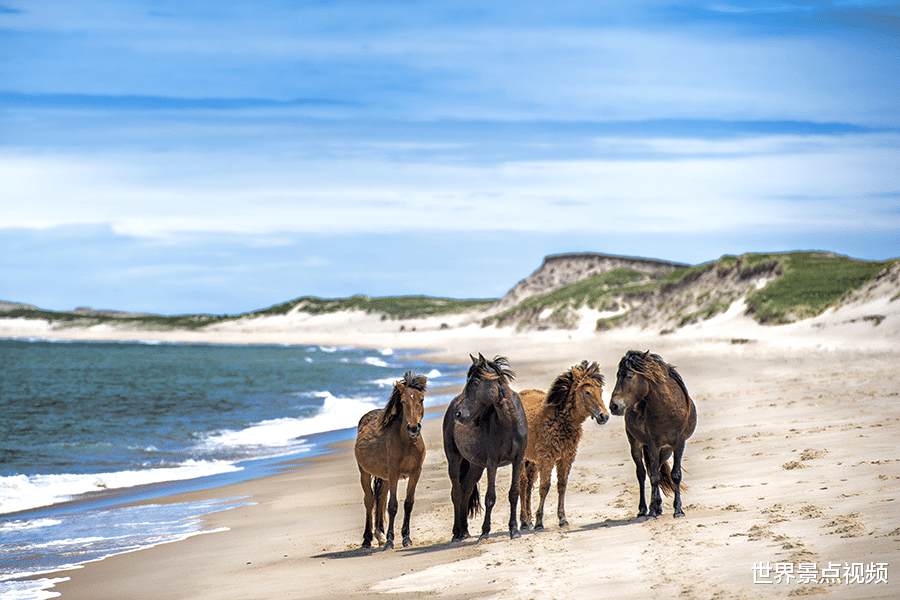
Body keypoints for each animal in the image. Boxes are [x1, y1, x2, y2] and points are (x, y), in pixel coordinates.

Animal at [354, 371, 428, 549]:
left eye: (421, 399)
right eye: (403, 401)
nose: (413, 428)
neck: (408, 443)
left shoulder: (415, 472)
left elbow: (408, 503)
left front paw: (406, 538)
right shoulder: (394, 472)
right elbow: (392, 505)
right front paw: (390, 541)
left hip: (385, 477)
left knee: (380, 499)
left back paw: (379, 534)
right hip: (365, 473)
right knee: (369, 500)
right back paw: (367, 539)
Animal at [442, 354, 528, 542]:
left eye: (475, 382)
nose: (458, 414)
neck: (509, 423)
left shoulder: (518, 459)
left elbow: (514, 493)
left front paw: (514, 530)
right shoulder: (492, 462)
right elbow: (490, 497)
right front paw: (484, 533)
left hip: (476, 465)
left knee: (466, 490)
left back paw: (465, 531)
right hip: (454, 459)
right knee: (456, 493)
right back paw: (457, 533)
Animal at [517, 360, 609, 530]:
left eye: (600, 391)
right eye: (587, 392)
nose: (604, 416)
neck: (559, 419)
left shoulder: (566, 458)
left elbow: (562, 486)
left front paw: (562, 519)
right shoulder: (546, 459)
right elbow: (545, 487)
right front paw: (539, 522)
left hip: (531, 461)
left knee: (528, 486)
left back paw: (528, 519)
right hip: (522, 459)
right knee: (522, 484)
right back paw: (524, 521)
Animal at [609, 350, 697, 518]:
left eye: (629, 375)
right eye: (617, 375)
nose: (613, 406)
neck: (667, 409)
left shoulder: (678, 443)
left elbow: (675, 475)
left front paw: (678, 510)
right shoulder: (653, 444)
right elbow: (654, 477)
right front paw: (652, 512)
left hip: (666, 449)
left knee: (657, 470)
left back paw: (658, 506)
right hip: (636, 444)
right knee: (642, 474)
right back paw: (644, 509)